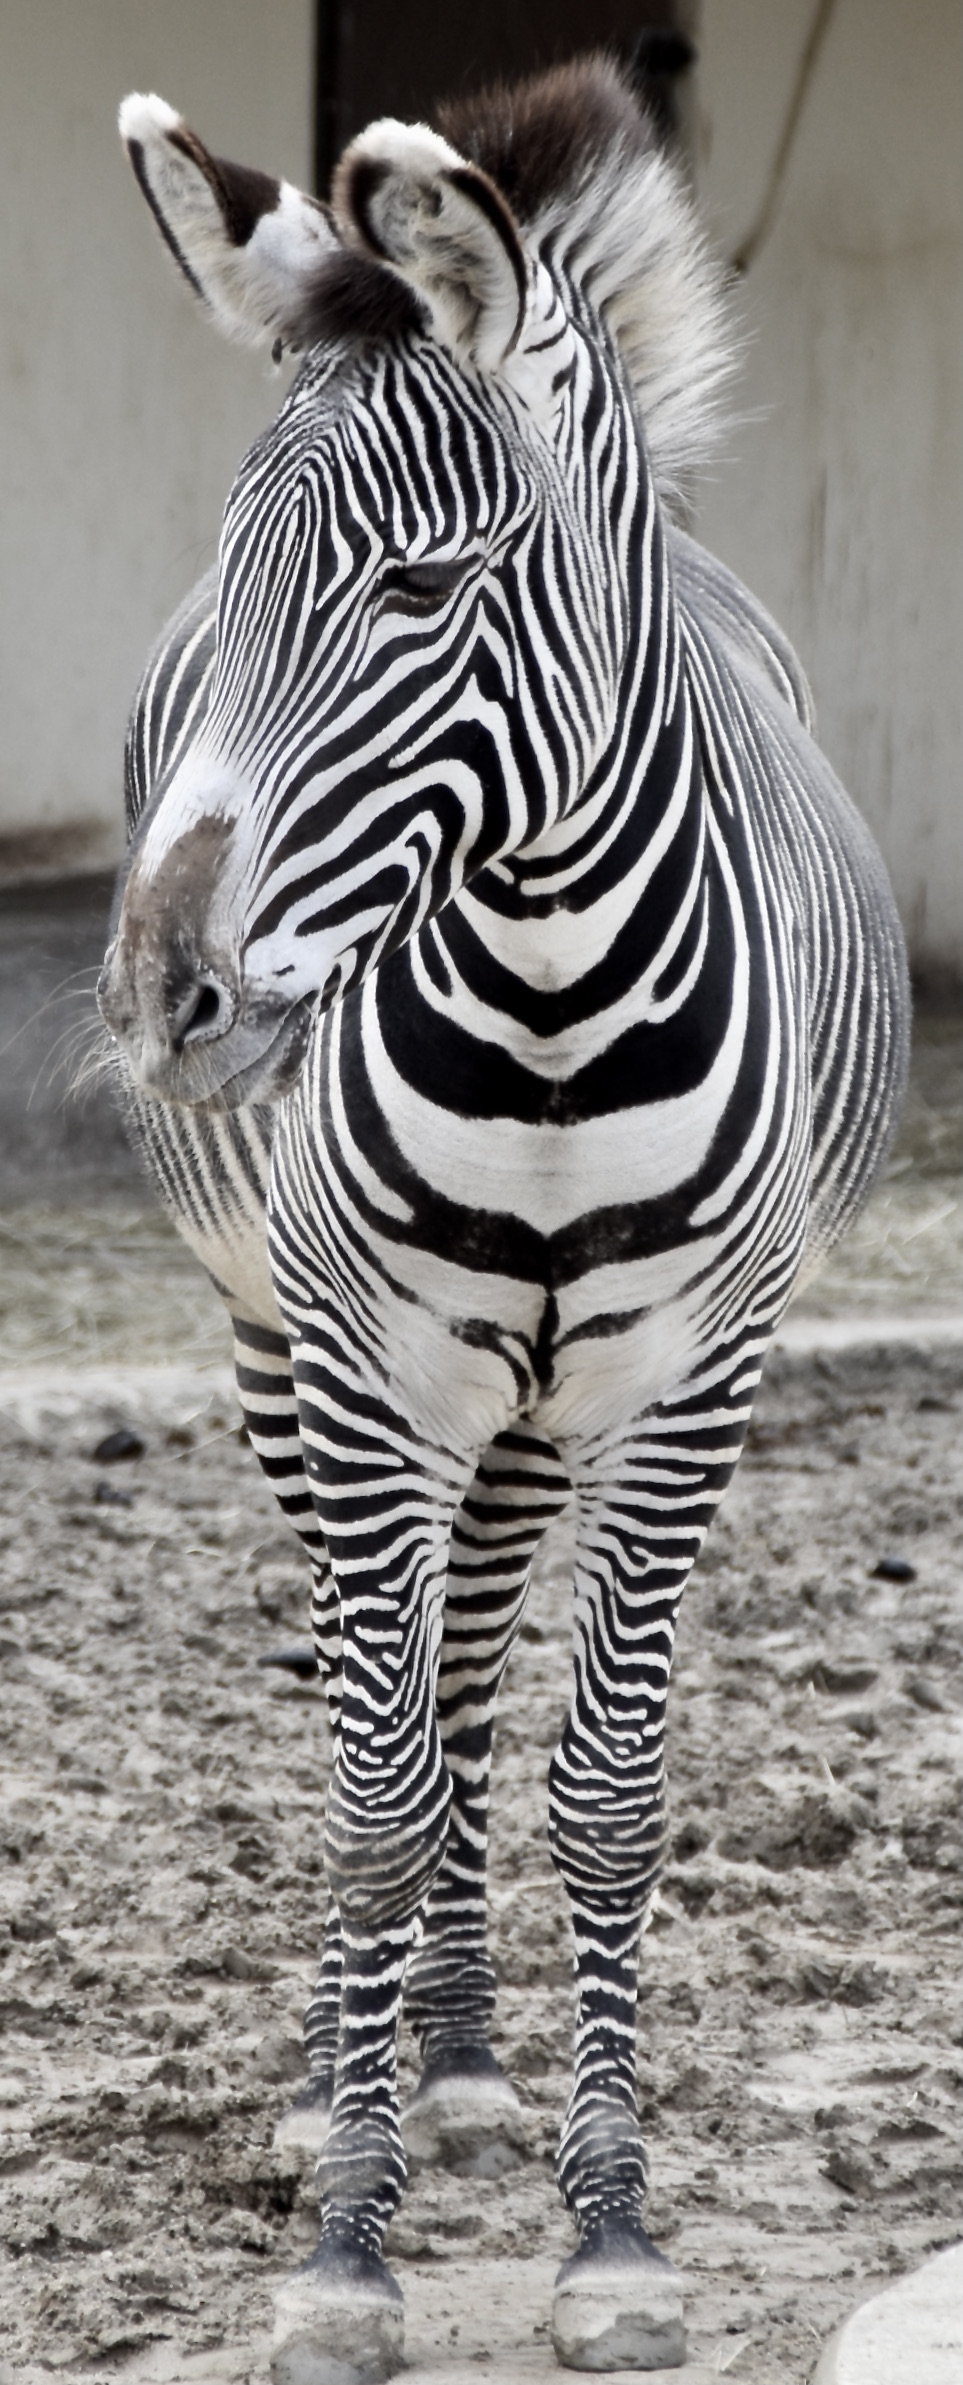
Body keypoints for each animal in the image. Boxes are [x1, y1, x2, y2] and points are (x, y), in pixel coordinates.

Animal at [99, 56, 908, 2382]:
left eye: (421, 589)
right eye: (233, 584)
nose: (163, 998)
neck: (545, 1001)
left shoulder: (686, 1386)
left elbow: (603, 1792)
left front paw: (609, 2232)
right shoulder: (362, 1374)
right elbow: (370, 1789)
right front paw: (343, 2248)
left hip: (534, 1409)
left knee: (461, 1659)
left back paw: (456, 2054)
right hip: (301, 1356)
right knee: (378, 1697)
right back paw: (345, 2072)